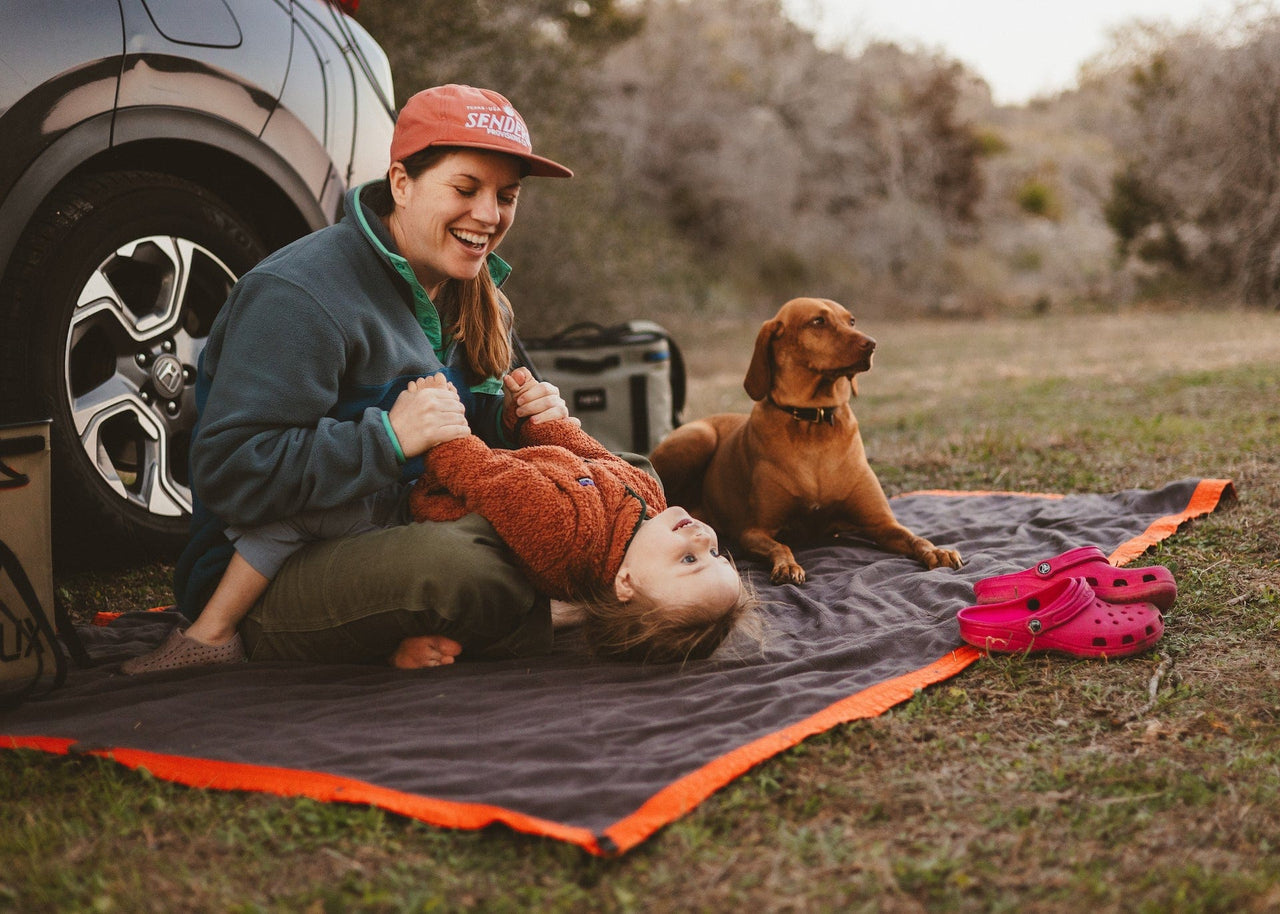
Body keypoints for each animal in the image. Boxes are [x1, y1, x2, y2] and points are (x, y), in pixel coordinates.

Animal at [650, 299, 962, 583]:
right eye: (818, 322)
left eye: (851, 321)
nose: (872, 344)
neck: (814, 424)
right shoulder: (753, 531)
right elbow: (781, 545)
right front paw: (787, 566)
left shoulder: (881, 523)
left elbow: (914, 537)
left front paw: (939, 551)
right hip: (698, 437)